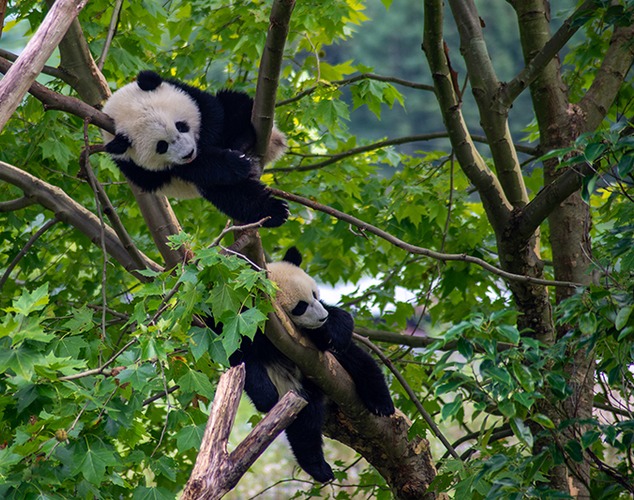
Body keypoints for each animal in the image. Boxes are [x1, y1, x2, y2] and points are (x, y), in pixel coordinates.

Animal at [102, 69, 288, 228]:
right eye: (161, 146)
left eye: (180, 126)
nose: (189, 153)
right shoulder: (135, 166)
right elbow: (191, 169)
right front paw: (234, 163)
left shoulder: (189, 93)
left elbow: (213, 115)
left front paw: (229, 144)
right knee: (233, 195)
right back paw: (275, 211)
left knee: (234, 102)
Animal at [222, 248, 392, 482]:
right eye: (300, 307)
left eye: (315, 294)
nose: (322, 318)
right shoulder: (237, 326)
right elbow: (241, 357)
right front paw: (265, 396)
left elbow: (340, 325)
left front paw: (334, 328)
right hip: (292, 390)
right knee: (306, 426)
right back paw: (318, 467)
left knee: (363, 364)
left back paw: (381, 404)